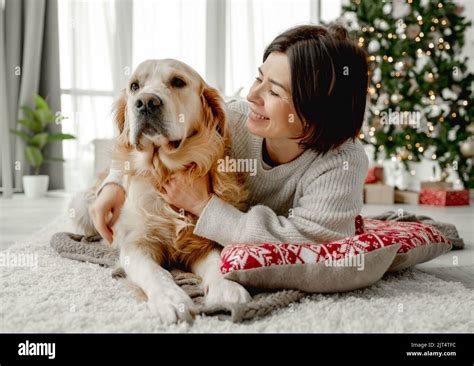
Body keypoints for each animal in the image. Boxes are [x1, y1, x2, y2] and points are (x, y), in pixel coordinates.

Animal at [71, 59, 250, 324]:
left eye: (178, 81)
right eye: (134, 86)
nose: (146, 102)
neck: (163, 170)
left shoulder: (199, 242)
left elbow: (216, 260)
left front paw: (228, 288)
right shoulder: (136, 244)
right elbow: (155, 272)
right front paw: (172, 299)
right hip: (82, 206)